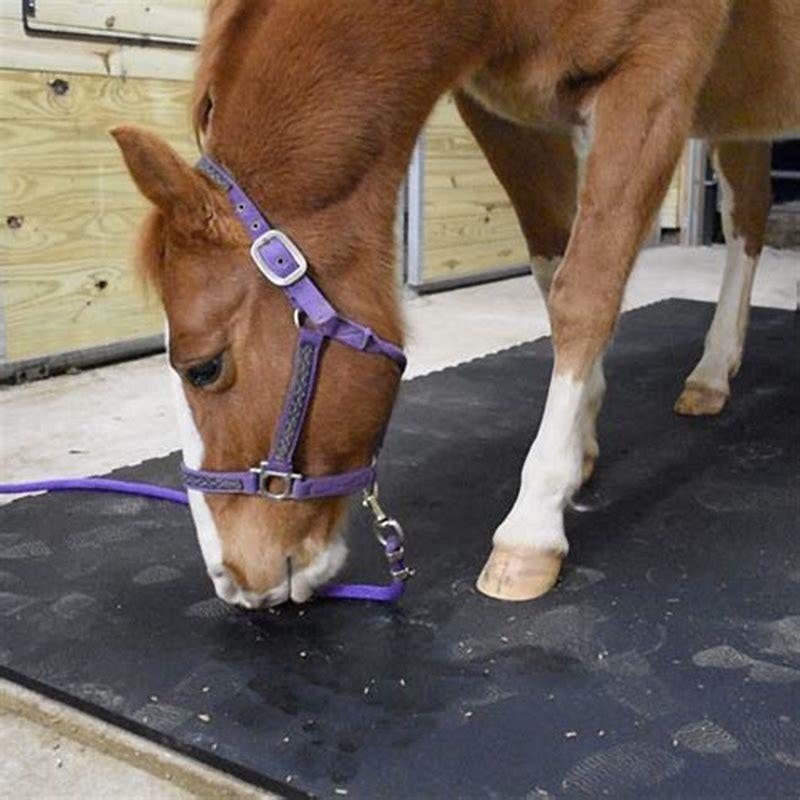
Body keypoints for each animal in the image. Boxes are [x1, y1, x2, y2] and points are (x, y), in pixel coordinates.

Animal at [112, 0, 800, 608]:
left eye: (204, 368)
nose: (231, 581)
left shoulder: (652, 80)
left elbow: (586, 290)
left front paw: (533, 526)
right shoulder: (510, 120)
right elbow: (553, 272)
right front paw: (580, 447)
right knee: (748, 212)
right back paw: (712, 375)